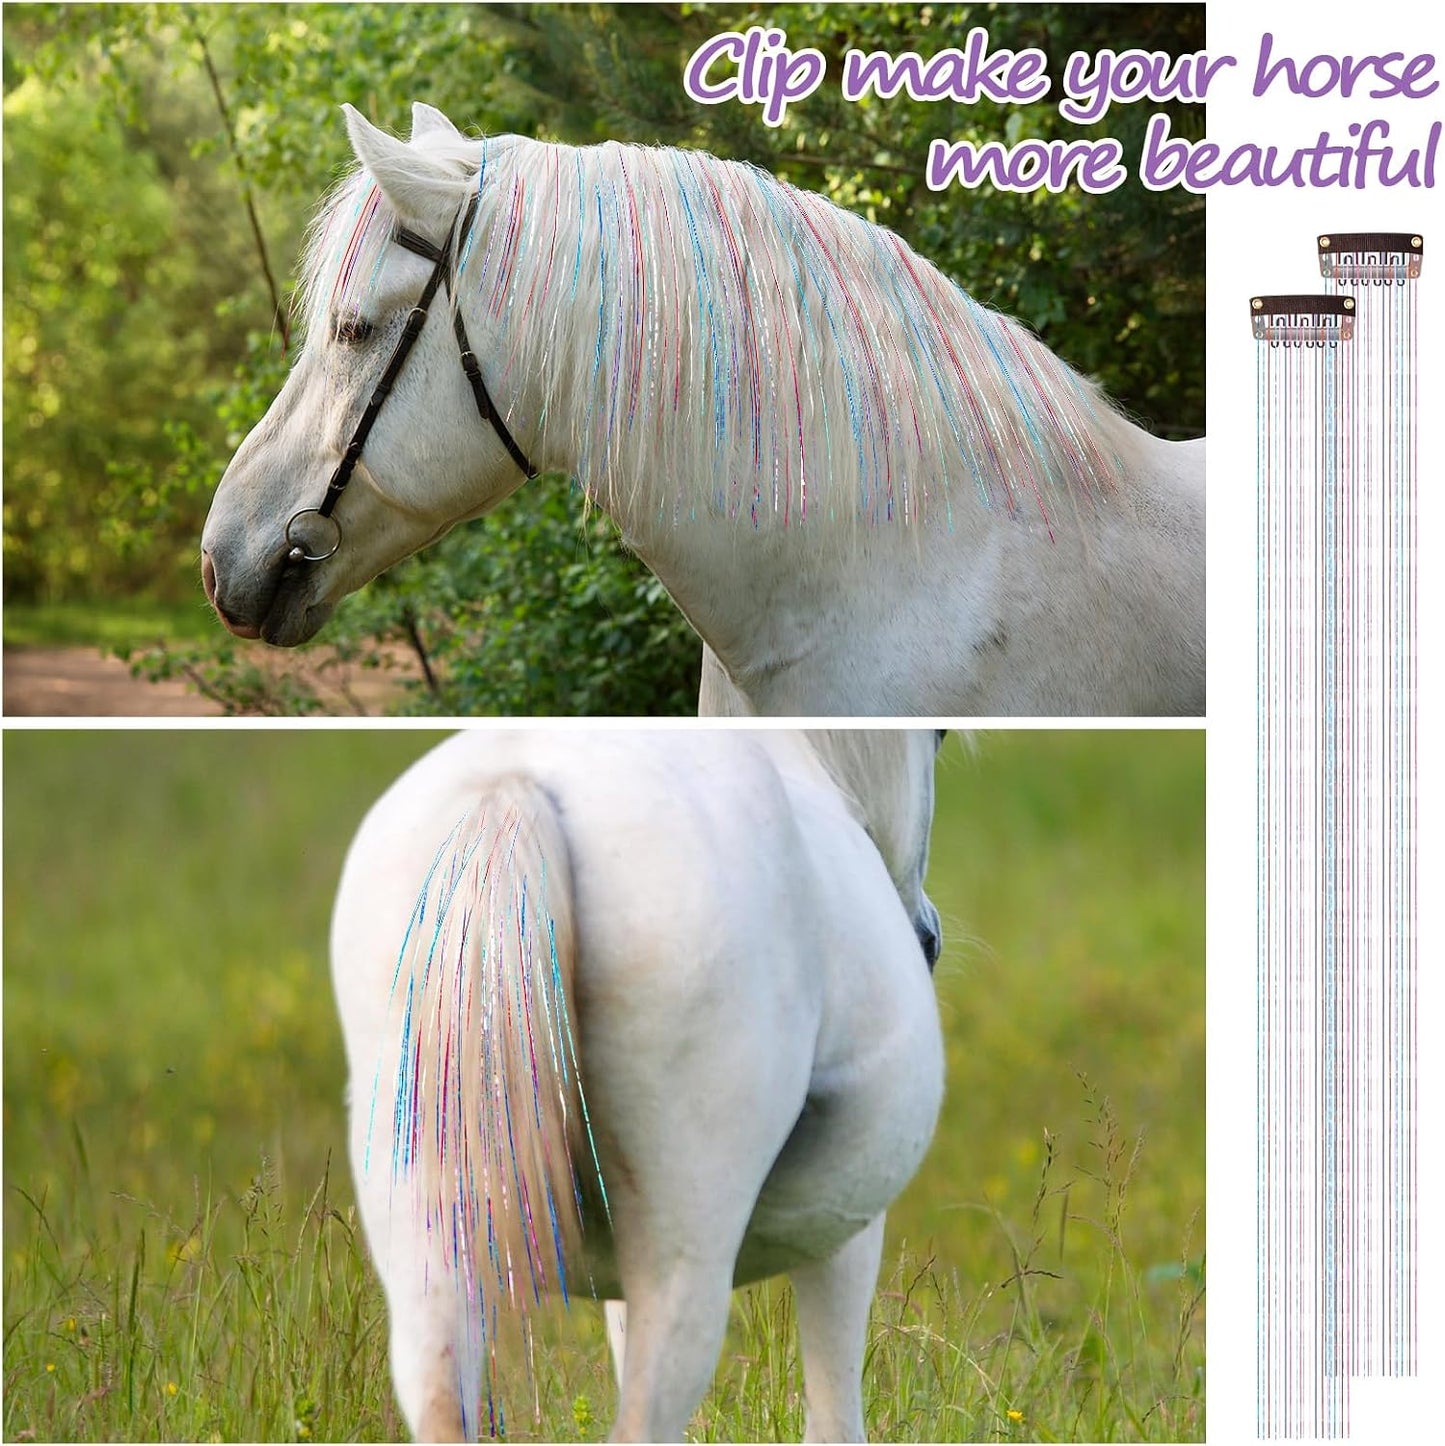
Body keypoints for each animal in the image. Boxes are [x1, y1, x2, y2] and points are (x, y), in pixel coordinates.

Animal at [331, 728, 945, 1441]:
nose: (927, 938)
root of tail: (511, 789)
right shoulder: (843, 1229)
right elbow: (835, 1415)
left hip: (427, 1248)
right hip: (684, 1252)